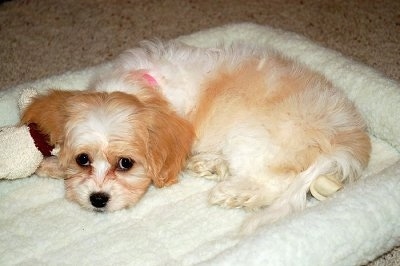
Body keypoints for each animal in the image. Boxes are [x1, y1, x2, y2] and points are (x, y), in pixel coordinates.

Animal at [22, 40, 372, 232]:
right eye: (83, 159)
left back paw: (232, 192)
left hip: (253, 138)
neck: (147, 87)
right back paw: (211, 165)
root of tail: (346, 141)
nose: (97, 199)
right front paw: (51, 164)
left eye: (125, 164)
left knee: (275, 184)